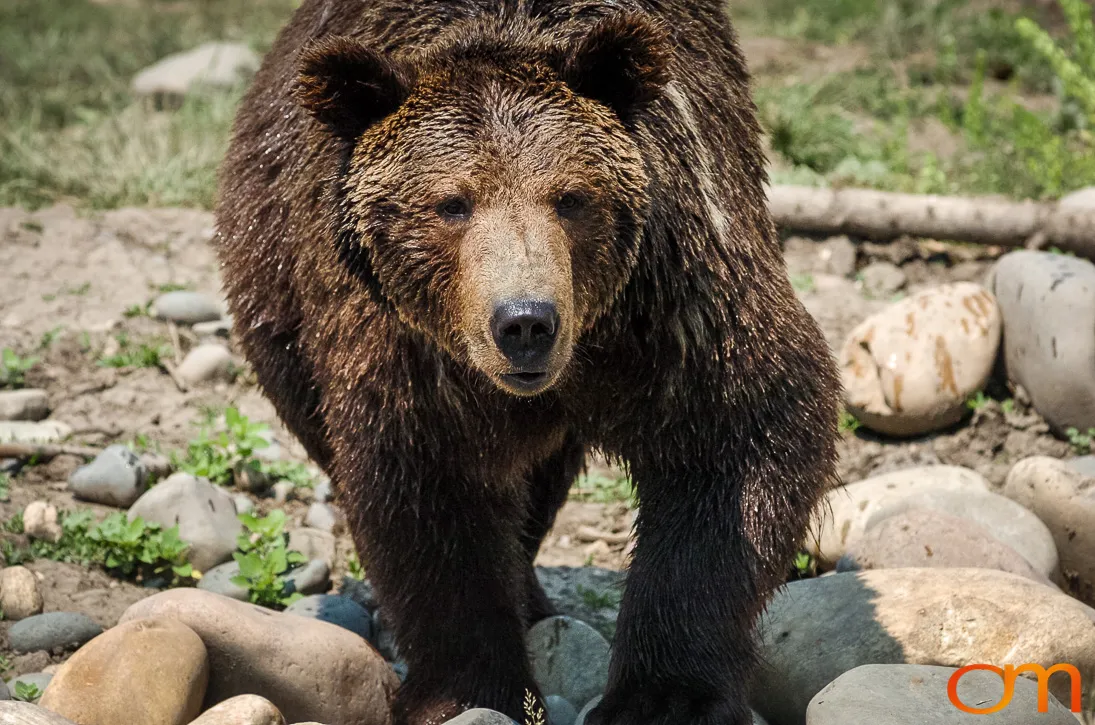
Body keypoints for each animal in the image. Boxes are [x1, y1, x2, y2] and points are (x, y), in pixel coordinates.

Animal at [214, 1, 840, 724]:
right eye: (451, 202)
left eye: (570, 196)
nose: (525, 323)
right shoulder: (411, 352)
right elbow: (428, 493)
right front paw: (466, 691)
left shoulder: (674, 304)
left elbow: (737, 442)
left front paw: (664, 695)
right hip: (276, 292)